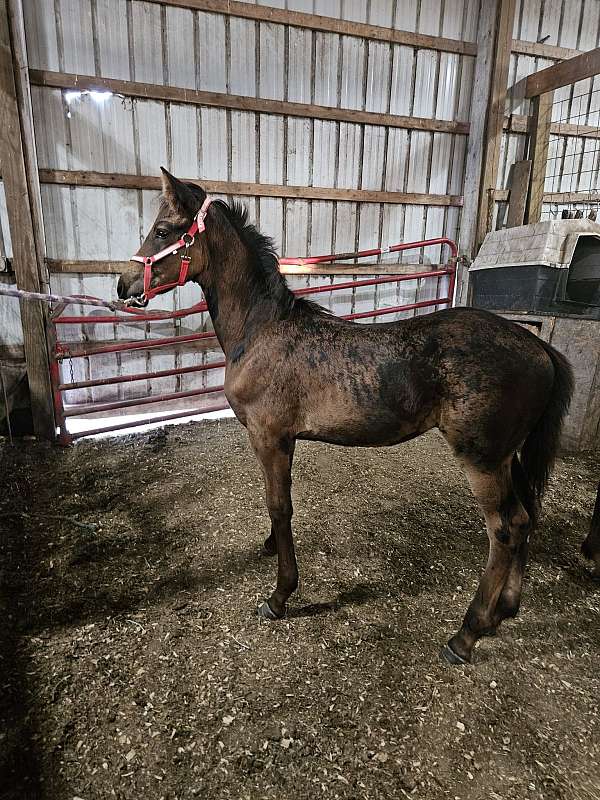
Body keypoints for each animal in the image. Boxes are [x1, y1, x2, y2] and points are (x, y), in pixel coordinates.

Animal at [118, 170, 576, 668]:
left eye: (164, 230)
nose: (123, 285)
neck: (261, 331)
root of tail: (540, 347)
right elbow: (275, 505)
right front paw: (269, 549)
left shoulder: (270, 437)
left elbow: (280, 507)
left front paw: (280, 596)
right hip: (509, 456)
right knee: (527, 516)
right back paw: (503, 611)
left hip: (483, 459)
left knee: (505, 529)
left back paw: (467, 633)